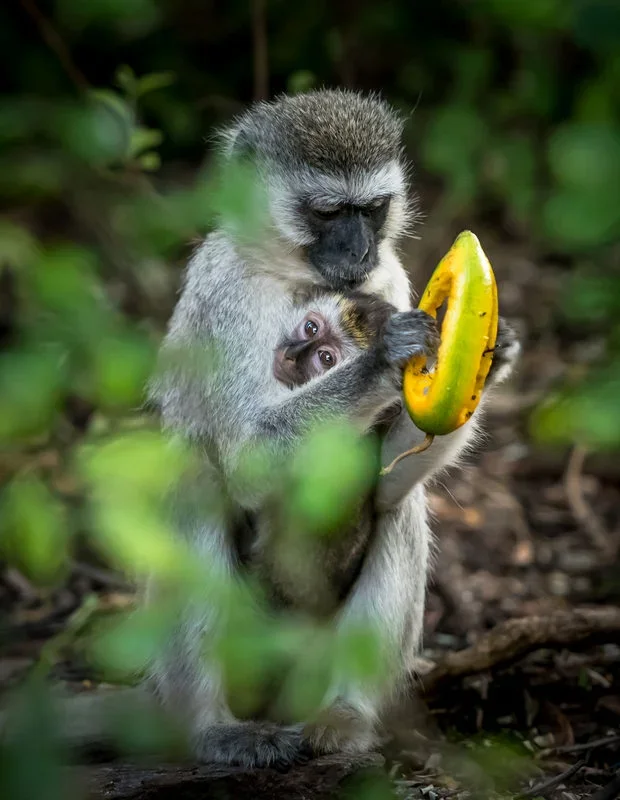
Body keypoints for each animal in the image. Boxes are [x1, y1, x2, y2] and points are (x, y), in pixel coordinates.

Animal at [146, 89, 521, 769]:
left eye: (371, 210)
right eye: (327, 213)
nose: (358, 252)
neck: (294, 277)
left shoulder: (392, 279)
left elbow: (386, 479)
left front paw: (495, 353)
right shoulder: (224, 293)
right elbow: (247, 460)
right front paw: (383, 361)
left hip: (306, 667)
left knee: (397, 511)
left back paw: (345, 716)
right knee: (195, 484)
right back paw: (214, 728)